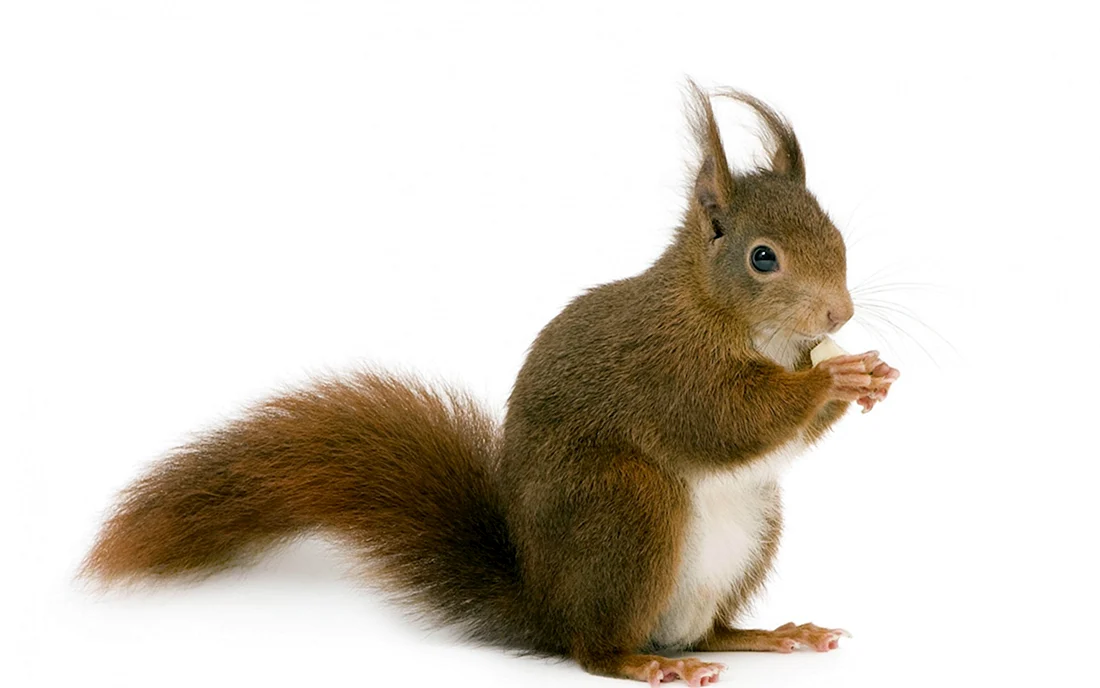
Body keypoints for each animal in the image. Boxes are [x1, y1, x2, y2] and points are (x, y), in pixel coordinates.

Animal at [83, 81, 900, 687]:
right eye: (764, 258)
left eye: (835, 233)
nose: (840, 313)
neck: (727, 316)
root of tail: (545, 605)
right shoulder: (666, 367)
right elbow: (725, 420)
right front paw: (836, 374)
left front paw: (870, 375)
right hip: (626, 506)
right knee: (595, 649)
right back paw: (642, 661)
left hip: (750, 528)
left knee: (708, 630)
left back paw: (769, 634)